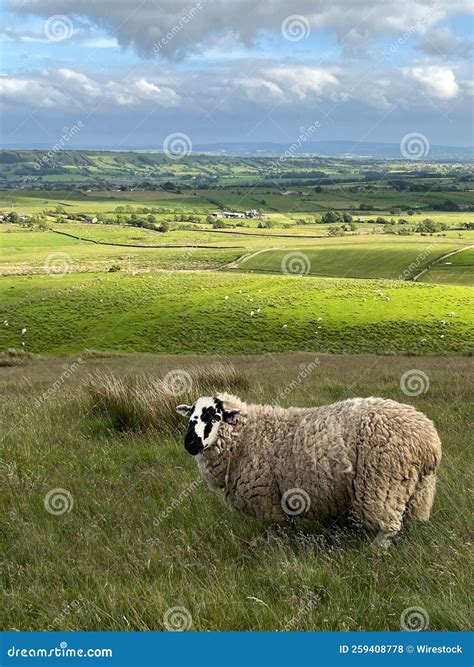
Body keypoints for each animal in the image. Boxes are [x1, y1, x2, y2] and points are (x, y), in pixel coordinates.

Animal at [176, 392, 442, 548]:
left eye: (214, 415)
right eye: (191, 415)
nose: (190, 443)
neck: (245, 437)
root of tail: (428, 438)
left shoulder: (267, 500)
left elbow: (274, 533)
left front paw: (274, 554)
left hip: (383, 483)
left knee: (389, 527)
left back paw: (375, 552)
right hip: (418, 489)